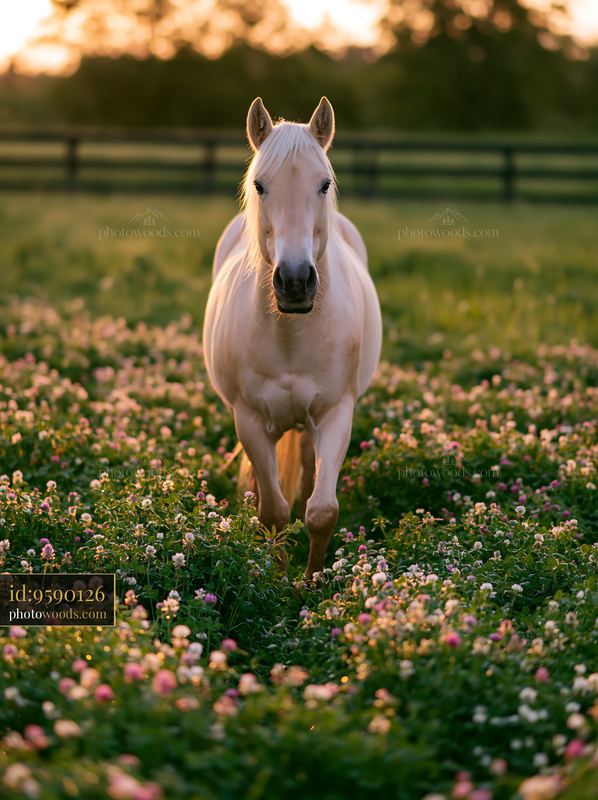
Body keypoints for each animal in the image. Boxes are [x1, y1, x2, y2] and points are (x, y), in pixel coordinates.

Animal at [203, 97, 382, 577]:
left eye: (324, 184)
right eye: (260, 185)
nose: (296, 281)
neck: (291, 336)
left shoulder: (337, 414)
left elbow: (322, 511)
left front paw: (311, 582)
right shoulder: (248, 420)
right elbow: (273, 513)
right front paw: (279, 576)